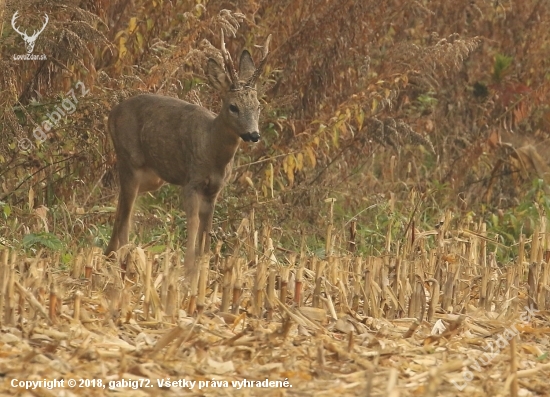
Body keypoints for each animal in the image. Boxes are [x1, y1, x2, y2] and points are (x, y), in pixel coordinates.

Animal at [105, 31, 272, 272]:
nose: (253, 134)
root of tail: (112, 114)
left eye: (258, 106)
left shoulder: (214, 189)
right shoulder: (191, 181)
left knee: (122, 205)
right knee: (126, 213)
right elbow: (193, 222)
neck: (211, 148)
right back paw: (125, 260)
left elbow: (207, 227)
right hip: (129, 159)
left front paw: (204, 265)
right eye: (233, 107)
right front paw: (188, 265)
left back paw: (109, 254)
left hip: (153, 177)